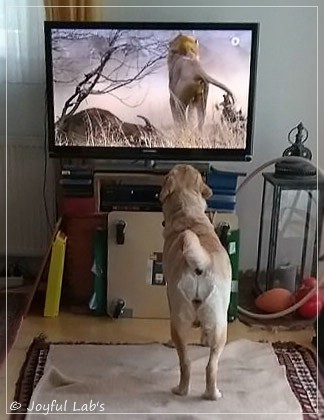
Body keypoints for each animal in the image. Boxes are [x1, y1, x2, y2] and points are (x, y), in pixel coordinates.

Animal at [159, 164, 230, 400]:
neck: (188, 213)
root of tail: (201, 265)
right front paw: (204, 340)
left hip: (180, 320)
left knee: (186, 362)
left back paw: (182, 390)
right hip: (220, 324)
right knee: (209, 366)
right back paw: (211, 393)